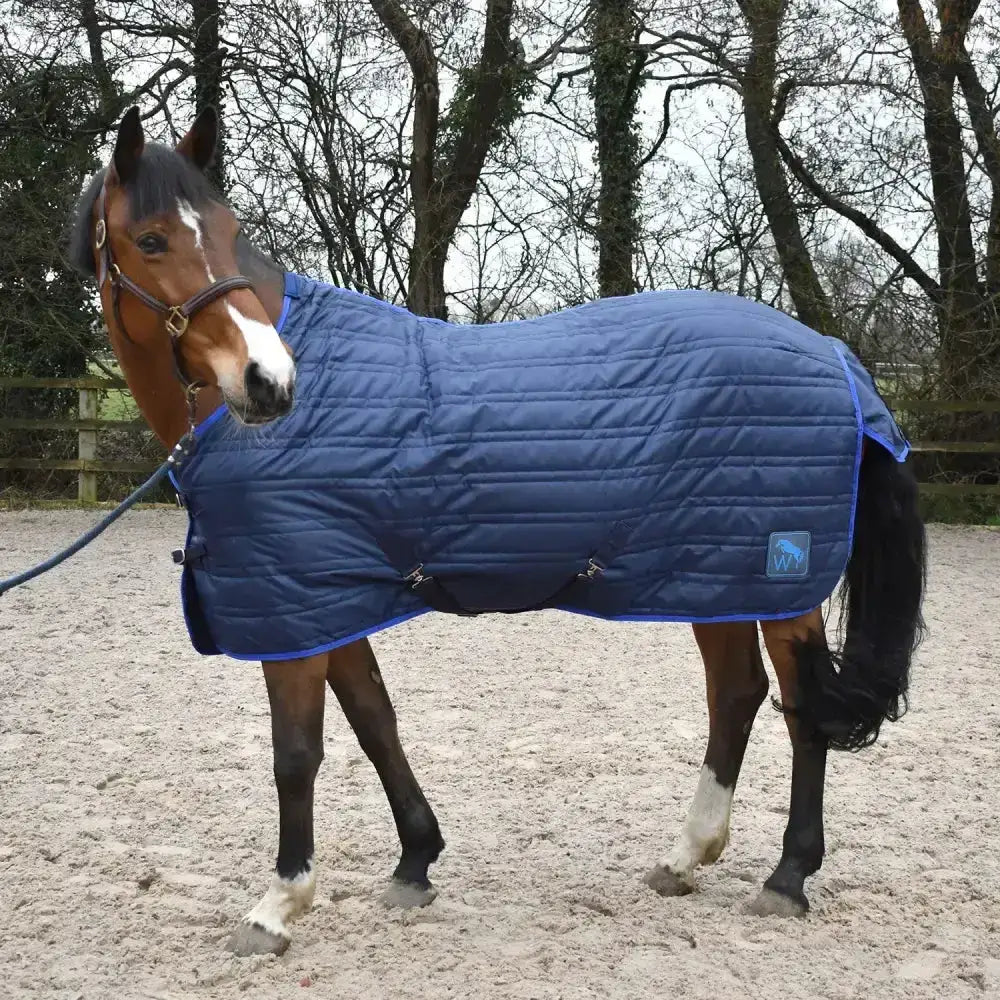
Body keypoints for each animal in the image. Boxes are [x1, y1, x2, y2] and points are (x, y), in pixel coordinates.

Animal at [66, 105, 926, 956]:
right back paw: (686, 857)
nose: (269, 381)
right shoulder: (330, 596)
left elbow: (297, 755)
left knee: (801, 709)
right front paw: (414, 861)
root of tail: (832, 354)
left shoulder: (294, 608)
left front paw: (279, 903)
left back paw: (788, 876)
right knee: (738, 693)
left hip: (778, 582)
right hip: (710, 574)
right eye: (152, 240)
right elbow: (375, 721)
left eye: (227, 227)